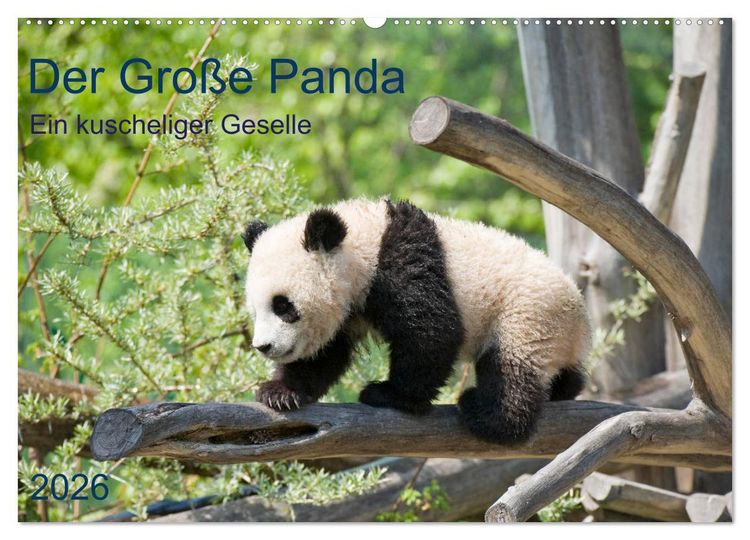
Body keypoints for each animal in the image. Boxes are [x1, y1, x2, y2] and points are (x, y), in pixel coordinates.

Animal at [242, 198, 591, 443]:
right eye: (256, 310)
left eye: (283, 306)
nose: (264, 346)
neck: (364, 242)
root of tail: (579, 316)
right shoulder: (350, 307)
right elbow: (325, 354)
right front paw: (281, 392)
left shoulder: (402, 264)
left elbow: (431, 332)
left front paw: (390, 395)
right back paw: (564, 388)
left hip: (527, 312)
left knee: (512, 368)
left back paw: (488, 415)